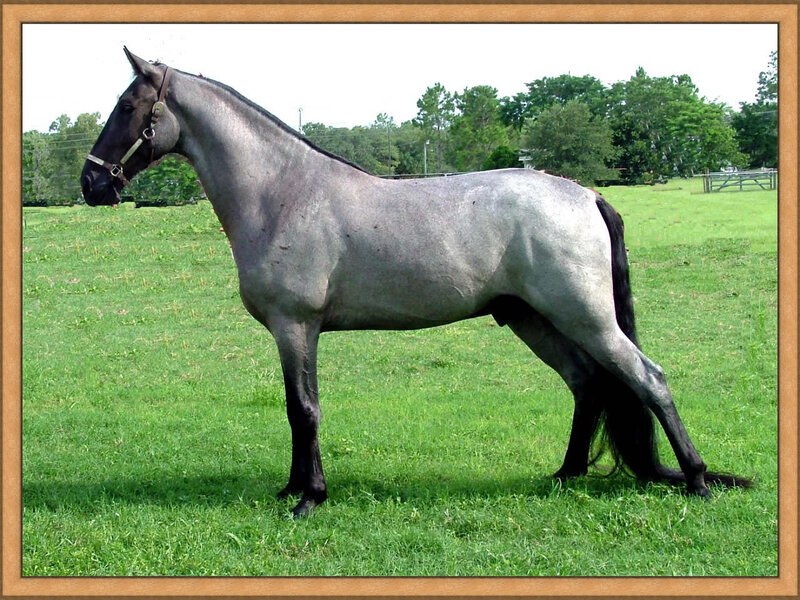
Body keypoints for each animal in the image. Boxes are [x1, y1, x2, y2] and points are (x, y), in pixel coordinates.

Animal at [81, 48, 750, 517]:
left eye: (127, 108)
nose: (92, 184)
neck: (282, 191)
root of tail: (586, 194)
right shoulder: (296, 332)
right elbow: (298, 410)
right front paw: (293, 488)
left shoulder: (296, 326)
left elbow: (304, 409)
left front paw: (309, 498)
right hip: (533, 319)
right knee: (588, 386)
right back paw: (565, 476)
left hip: (583, 316)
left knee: (648, 379)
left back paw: (696, 480)